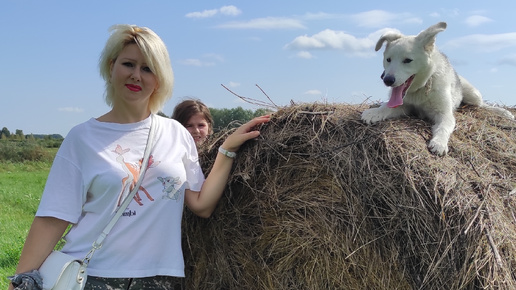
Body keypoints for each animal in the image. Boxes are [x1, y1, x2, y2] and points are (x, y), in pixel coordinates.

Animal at [360, 22, 512, 156]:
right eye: (388, 59)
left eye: (407, 60)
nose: (386, 79)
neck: (422, 87)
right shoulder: (405, 106)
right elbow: (386, 107)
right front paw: (374, 112)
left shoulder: (445, 115)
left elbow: (443, 128)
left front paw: (439, 143)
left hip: (473, 94)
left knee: (482, 105)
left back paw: (504, 112)